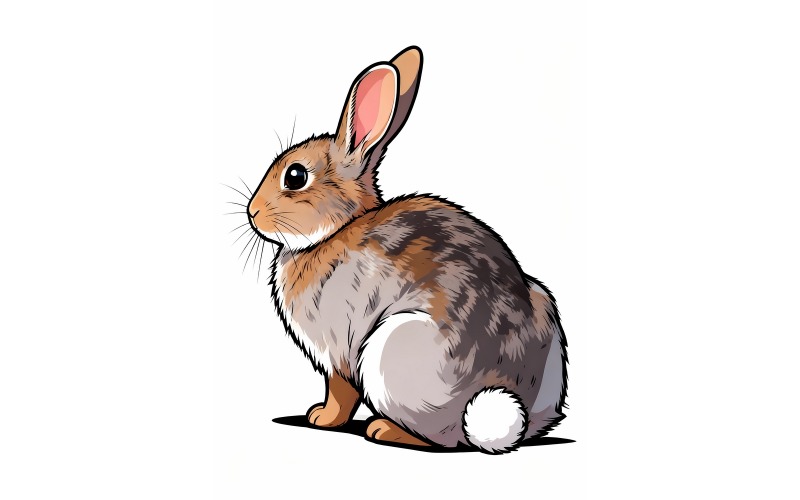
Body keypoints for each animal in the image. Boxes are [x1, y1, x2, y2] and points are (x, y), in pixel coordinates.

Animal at [245, 46, 568, 453]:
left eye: (296, 176)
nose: (252, 213)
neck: (336, 231)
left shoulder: (340, 352)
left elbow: (341, 392)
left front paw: (321, 418)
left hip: (391, 351)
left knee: (443, 439)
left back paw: (384, 429)